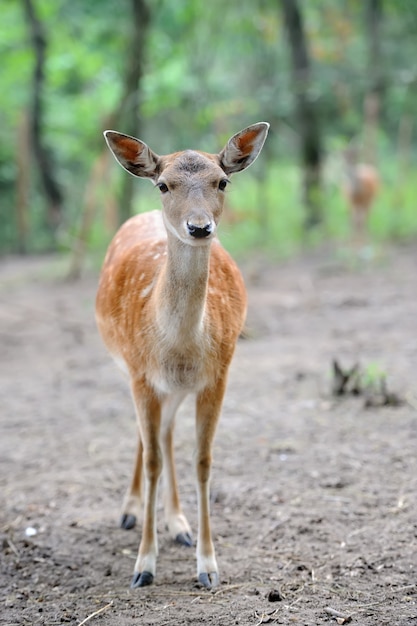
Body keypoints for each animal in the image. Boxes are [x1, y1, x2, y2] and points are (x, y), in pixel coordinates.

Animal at [95, 120, 270, 584]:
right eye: (163, 185)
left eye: (222, 181)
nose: (199, 227)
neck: (179, 346)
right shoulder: (140, 374)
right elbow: (153, 459)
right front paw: (143, 566)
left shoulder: (218, 374)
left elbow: (202, 460)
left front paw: (208, 566)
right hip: (129, 369)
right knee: (150, 439)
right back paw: (131, 511)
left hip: (175, 388)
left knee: (167, 434)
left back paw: (178, 525)